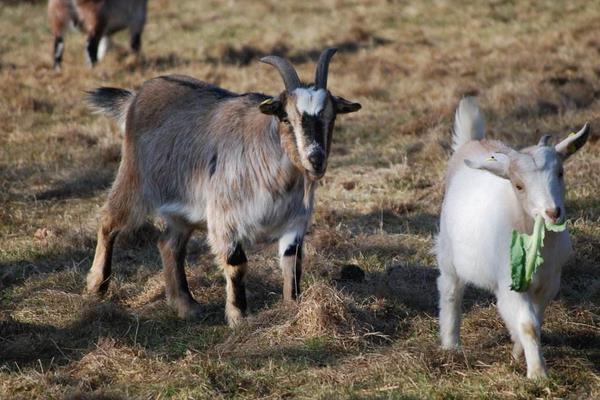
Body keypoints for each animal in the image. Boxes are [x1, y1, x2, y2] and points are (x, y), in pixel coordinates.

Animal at [436, 97, 592, 378]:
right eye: (518, 186)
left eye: (561, 172)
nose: (553, 212)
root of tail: (473, 142)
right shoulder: (510, 283)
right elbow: (527, 323)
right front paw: (538, 374)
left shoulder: (550, 281)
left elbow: (536, 320)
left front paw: (519, 351)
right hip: (447, 253)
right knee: (450, 290)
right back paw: (451, 345)